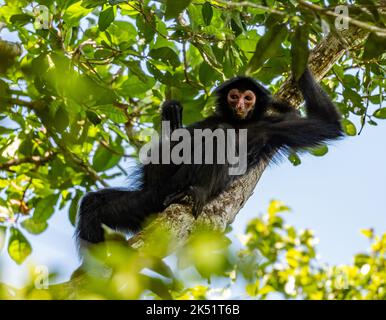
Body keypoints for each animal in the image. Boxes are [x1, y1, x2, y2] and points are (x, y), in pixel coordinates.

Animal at [74, 67, 340, 248]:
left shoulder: (273, 127)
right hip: (146, 200)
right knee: (92, 205)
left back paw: (196, 192)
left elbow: (327, 125)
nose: (240, 106)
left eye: (248, 98)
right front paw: (172, 117)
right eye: (234, 96)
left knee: (219, 136)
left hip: (174, 185)